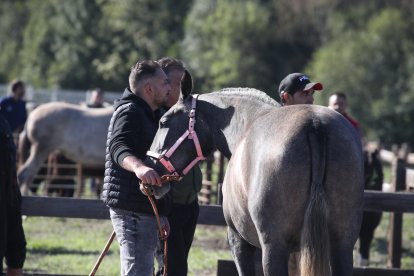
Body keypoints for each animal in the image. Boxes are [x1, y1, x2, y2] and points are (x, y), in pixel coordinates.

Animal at [146, 71, 366, 276]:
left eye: (163, 121)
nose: (149, 169)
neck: (246, 125)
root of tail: (314, 124)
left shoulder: (239, 240)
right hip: (341, 244)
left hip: (273, 247)